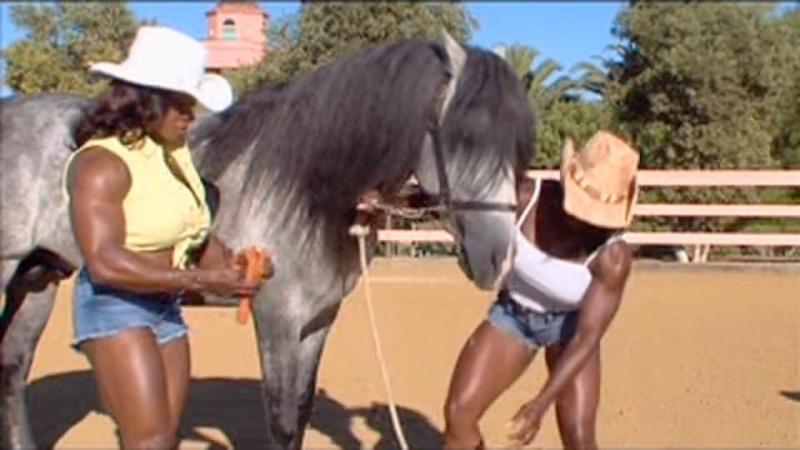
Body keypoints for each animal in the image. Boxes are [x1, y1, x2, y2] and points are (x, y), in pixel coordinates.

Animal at [0, 33, 535, 449]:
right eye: (464, 138)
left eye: (515, 146)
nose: (498, 259)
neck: (306, 187)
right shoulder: (276, 318)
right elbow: (280, 422)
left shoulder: (317, 322)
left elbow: (300, 413)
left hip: (37, 280)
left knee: (12, 370)